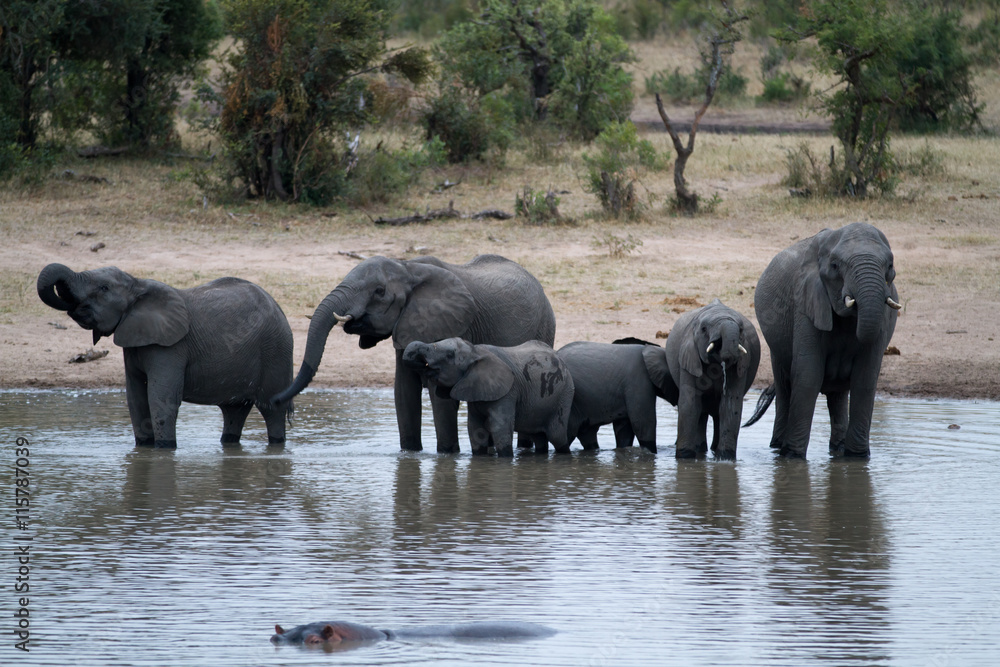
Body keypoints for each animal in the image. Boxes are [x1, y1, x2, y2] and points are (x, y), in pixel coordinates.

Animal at [37, 263, 293, 448]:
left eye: (104, 288)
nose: (73, 306)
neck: (137, 284)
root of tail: (280, 307)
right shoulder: (134, 342)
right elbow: (136, 398)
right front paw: (144, 447)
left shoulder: (171, 347)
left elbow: (161, 397)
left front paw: (165, 448)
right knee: (234, 411)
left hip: (276, 350)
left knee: (272, 409)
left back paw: (276, 444)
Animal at [271, 254, 556, 453]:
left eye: (379, 291)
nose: (276, 401)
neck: (407, 267)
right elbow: (403, 392)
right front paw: (409, 453)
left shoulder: (449, 323)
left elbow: (440, 397)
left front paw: (447, 454)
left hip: (545, 326)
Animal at [401, 338, 573, 456]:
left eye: (450, 355)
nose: (422, 365)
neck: (475, 351)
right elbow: (475, 429)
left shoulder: (508, 392)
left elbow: (500, 427)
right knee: (539, 438)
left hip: (564, 396)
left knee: (558, 437)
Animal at [664, 299, 760, 460]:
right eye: (704, 329)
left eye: (741, 329)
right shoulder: (689, 357)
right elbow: (689, 403)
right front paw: (685, 458)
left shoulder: (741, 364)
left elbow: (730, 405)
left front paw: (725, 459)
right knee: (701, 412)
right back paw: (701, 449)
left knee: (717, 413)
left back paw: (713, 450)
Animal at [746, 222, 900, 458]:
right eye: (835, 266)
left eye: (890, 266)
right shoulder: (806, 302)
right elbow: (808, 375)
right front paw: (793, 457)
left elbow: (865, 379)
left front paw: (857, 458)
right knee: (784, 386)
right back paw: (777, 447)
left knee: (838, 395)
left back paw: (838, 449)